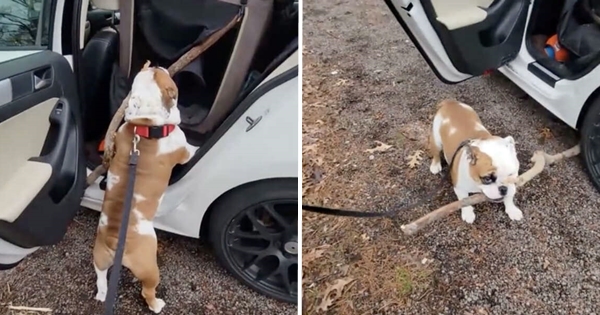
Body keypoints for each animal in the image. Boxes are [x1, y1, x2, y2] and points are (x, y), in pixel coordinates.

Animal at [92, 61, 198, 314]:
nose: (157, 63)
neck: (145, 124)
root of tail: (114, 240)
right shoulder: (183, 149)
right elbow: (191, 149)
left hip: (99, 257)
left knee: (101, 278)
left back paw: (102, 294)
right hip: (149, 268)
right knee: (148, 290)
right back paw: (156, 304)